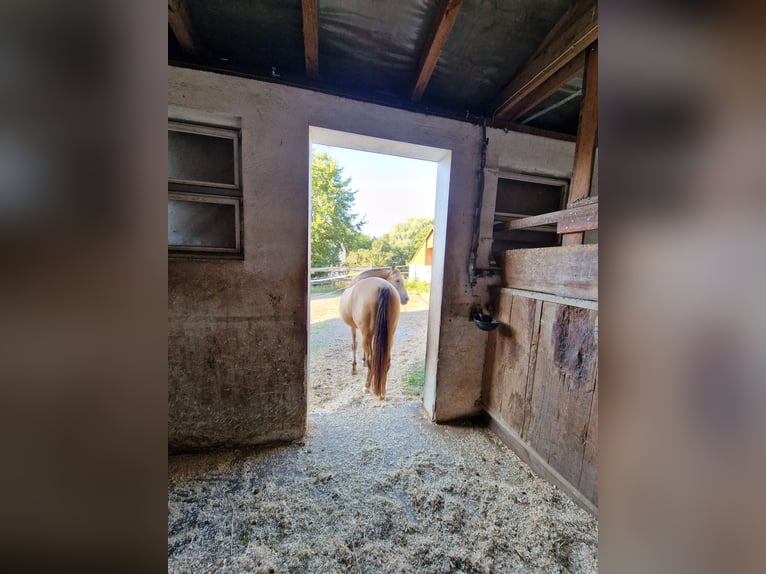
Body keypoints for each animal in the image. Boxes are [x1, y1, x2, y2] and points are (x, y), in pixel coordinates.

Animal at [342, 266, 412, 398]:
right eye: (397, 280)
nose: (406, 299)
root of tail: (383, 287)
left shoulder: (353, 328)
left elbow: (354, 345)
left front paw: (354, 368)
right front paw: (362, 361)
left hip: (367, 333)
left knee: (372, 359)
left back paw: (366, 387)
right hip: (389, 335)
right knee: (386, 360)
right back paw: (382, 393)